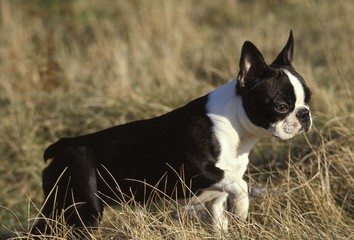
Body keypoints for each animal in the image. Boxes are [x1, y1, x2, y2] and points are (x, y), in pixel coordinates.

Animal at [31, 30, 312, 234]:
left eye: (308, 98)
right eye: (281, 106)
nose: (304, 114)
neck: (236, 126)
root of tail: (61, 147)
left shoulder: (216, 199)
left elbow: (220, 221)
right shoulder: (196, 170)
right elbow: (241, 185)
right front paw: (242, 209)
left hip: (60, 208)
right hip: (82, 211)